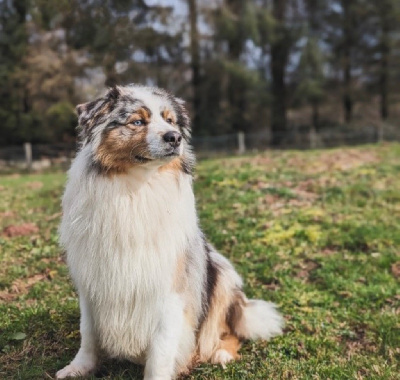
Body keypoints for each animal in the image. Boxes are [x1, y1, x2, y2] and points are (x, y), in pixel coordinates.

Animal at [56, 84, 282, 378]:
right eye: (137, 122)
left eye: (170, 121)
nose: (175, 137)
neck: (136, 189)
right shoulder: (92, 282)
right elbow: (88, 333)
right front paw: (78, 368)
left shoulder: (170, 290)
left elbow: (161, 352)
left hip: (221, 274)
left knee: (227, 329)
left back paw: (221, 352)